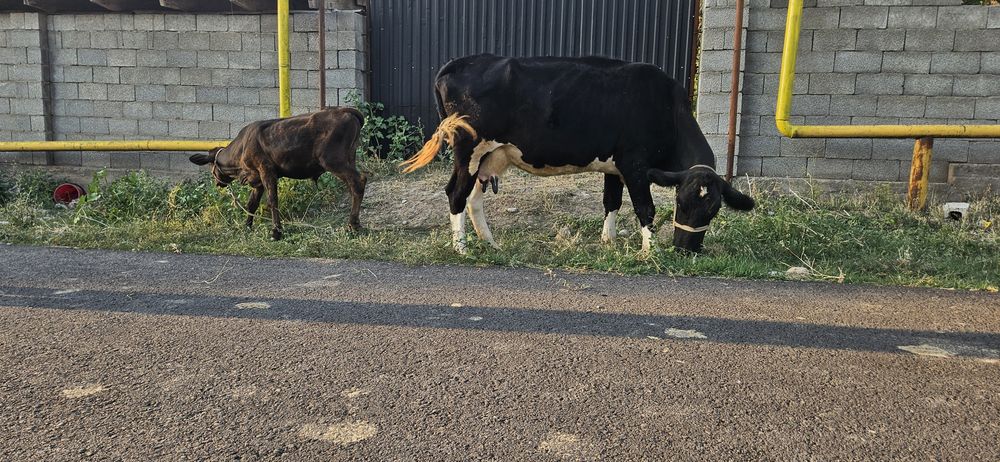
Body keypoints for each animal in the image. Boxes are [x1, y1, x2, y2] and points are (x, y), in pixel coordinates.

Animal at [189, 107, 367, 240]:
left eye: (212, 168)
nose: (218, 183)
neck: (241, 148)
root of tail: (344, 110)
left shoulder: (266, 170)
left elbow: (272, 200)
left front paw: (276, 232)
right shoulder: (257, 178)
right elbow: (252, 204)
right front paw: (247, 226)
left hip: (333, 160)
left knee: (359, 181)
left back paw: (352, 225)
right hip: (349, 158)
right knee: (354, 186)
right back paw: (354, 223)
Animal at [401, 54, 755, 254]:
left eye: (713, 210)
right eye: (680, 203)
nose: (685, 250)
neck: (667, 106)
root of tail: (458, 63)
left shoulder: (616, 166)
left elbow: (612, 202)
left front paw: (609, 243)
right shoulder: (635, 163)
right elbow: (646, 208)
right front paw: (650, 251)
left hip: (491, 155)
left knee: (473, 198)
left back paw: (490, 243)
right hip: (469, 149)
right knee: (456, 194)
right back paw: (462, 249)